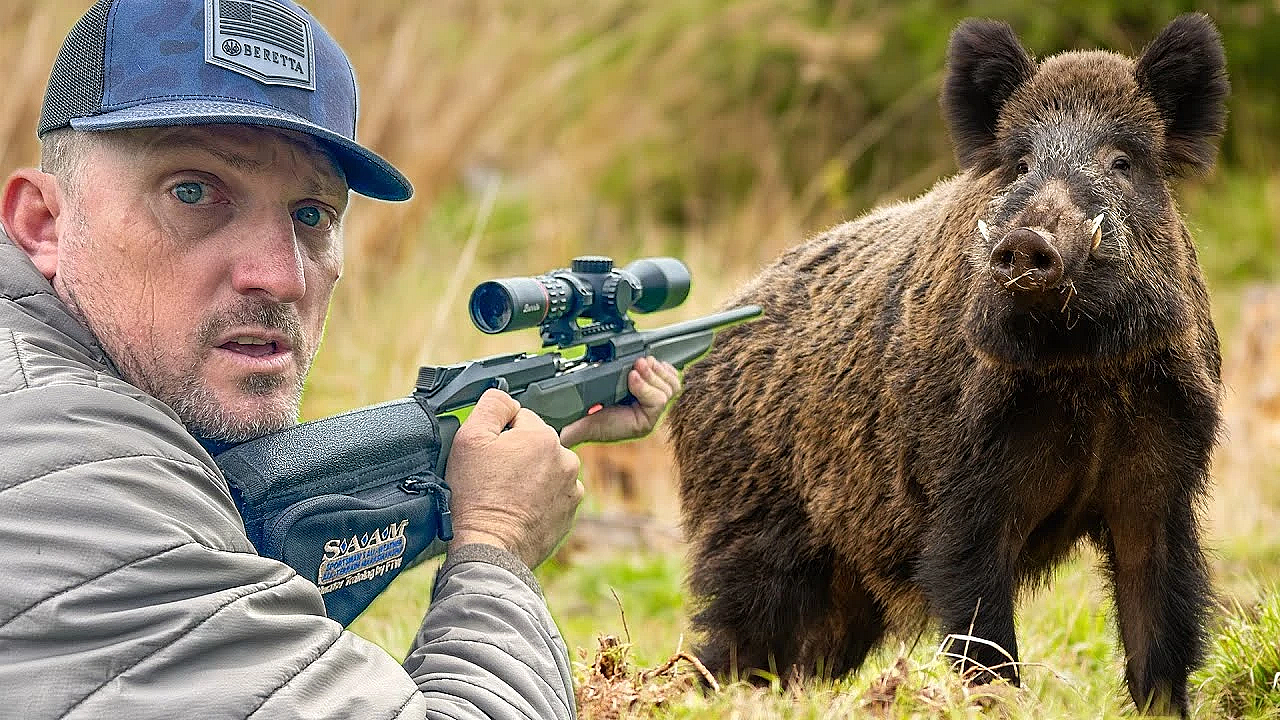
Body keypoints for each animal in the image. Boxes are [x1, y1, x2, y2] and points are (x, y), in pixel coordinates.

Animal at [666, 14, 1229, 716]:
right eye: (1020, 162)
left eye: (1122, 162)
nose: (1027, 241)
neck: (1083, 373)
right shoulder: (961, 492)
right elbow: (982, 629)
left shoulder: (1162, 485)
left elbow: (1160, 624)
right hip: (754, 537)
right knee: (732, 644)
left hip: (841, 585)